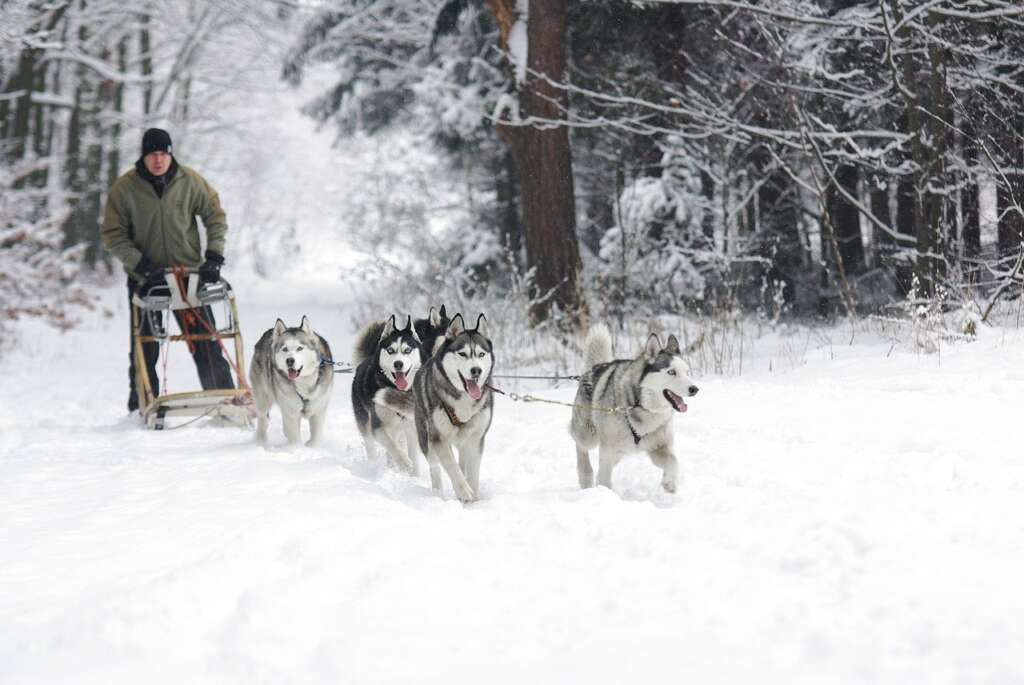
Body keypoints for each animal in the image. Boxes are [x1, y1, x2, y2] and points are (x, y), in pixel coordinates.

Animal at [249, 317, 333, 446]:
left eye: (300, 348)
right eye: (285, 349)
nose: (289, 360)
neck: (304, 382)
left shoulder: (318, 410)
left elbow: (316, 437)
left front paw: (312, 447)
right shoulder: (291, 411)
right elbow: (294, 437)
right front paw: (296, 449)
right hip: (263, 397)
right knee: (262, 418)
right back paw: (261, 440)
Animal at [354, 313, 425, 471]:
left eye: (407, 350)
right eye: (391, 350)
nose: (398, 364)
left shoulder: (412, 428)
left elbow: (414, 456)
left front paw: (415, 473)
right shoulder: (378, 426)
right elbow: (392, 446)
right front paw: (404, 462)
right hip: (366, 424)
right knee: (372, 446)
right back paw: (374, 465)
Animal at [573, 325, 700, 491]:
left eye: (687, 372)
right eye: (671, 372)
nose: (694, 389)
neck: (643, 408)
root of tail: (594, 369)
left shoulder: (658, 447)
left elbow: (673, 462)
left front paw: (669, 483)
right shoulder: (608, 449)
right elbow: (604, 478)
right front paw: (604, 492)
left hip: (619, 452)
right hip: (589, 435)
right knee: (580, 446)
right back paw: (586, 477)